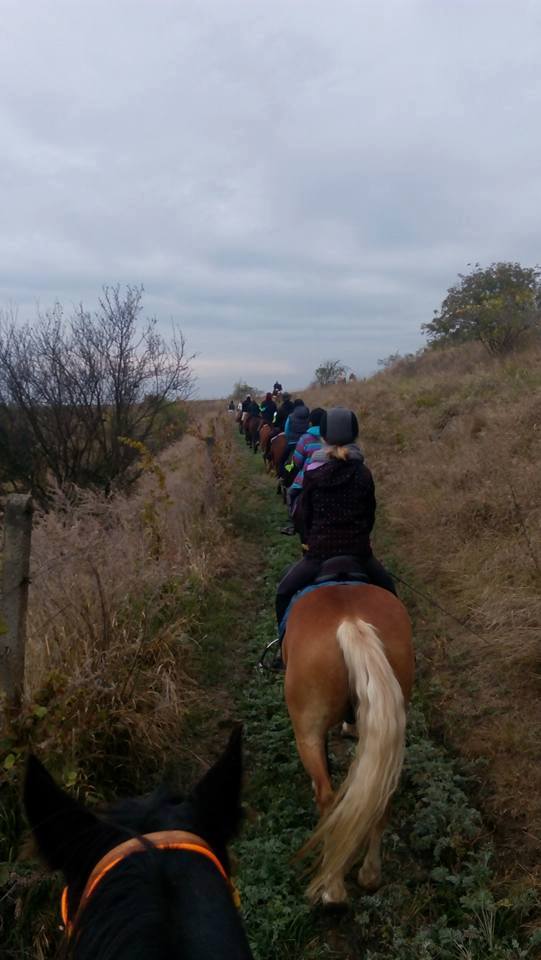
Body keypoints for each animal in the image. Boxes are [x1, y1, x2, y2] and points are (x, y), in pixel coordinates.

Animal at [282, 580, 414, 904]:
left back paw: (332, 888)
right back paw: (370, 875)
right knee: (382, 798)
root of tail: (351, 622)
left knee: (328, 798)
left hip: (306, 731)